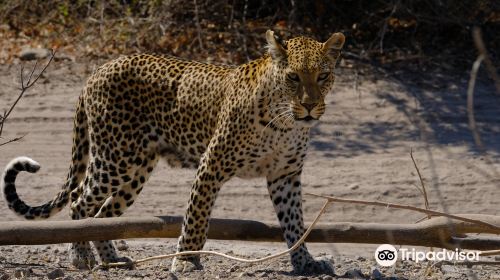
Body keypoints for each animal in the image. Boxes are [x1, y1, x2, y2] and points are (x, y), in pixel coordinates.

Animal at [0, 29, 344, 274]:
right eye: (293, 77)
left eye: (323, 76)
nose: (310, 106)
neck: (286, 122)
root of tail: (97, 71)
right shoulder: (211, 165)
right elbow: (197, 217)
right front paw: (187, 261)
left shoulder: (285, 175)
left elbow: (295, 223)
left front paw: (305, 262)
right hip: (114, 158)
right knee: (80, 201)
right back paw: (82, 258)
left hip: (136, 168)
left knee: (104, 214)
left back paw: (113, 260)